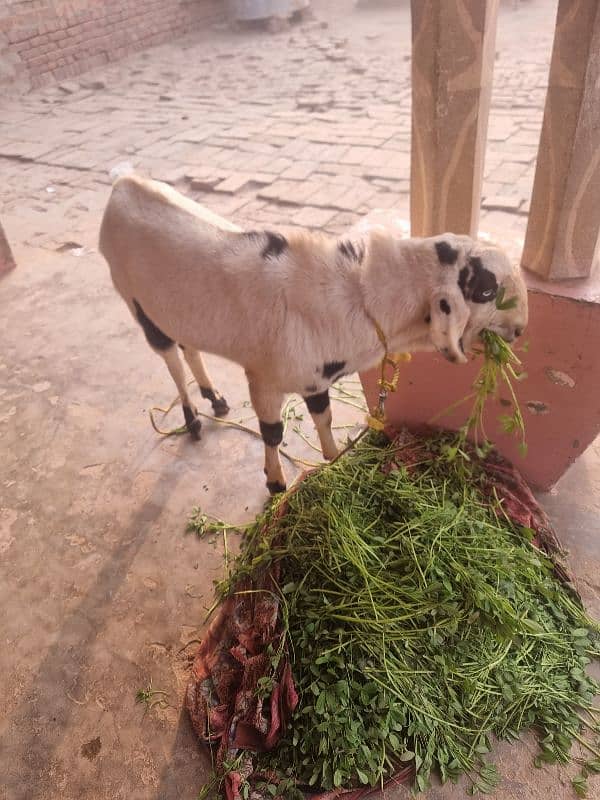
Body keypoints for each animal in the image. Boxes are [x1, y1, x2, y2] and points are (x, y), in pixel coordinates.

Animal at [101, 175, 528, 494]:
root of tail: (123, 185)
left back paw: (215, 399)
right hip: (137, 303)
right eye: (486, 290)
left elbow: (324, 416)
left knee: (189, 347)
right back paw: (192, 419)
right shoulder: (266, 380)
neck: (358, 295)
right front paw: (275, 484)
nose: (520, 328)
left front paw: (334, 460)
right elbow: (272, 433)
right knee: (170, 358)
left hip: (175, 309)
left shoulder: (316, 378)